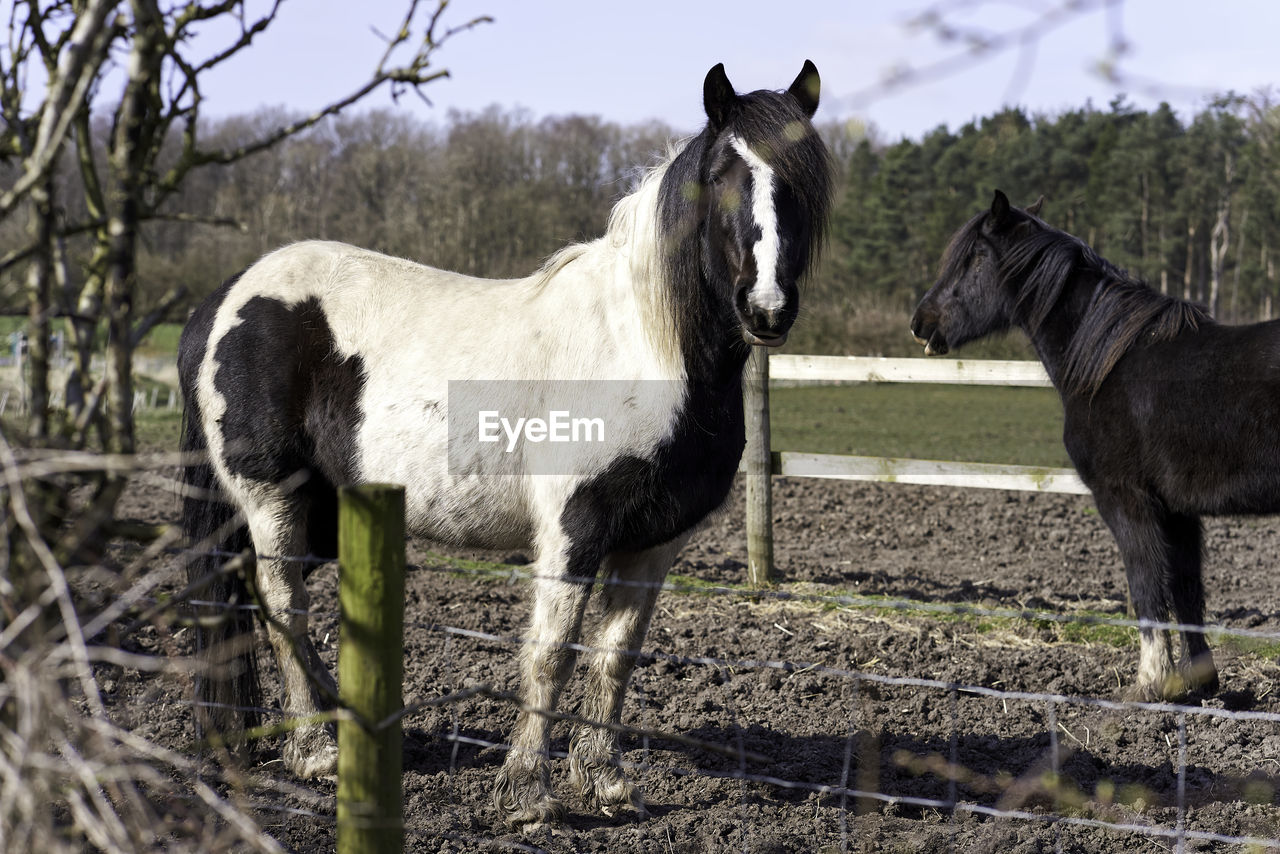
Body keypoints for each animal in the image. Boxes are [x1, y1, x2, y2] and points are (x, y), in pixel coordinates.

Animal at [180, 61, 834, 829]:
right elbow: (550, 653)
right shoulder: (573, 529)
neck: (644, 349)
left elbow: (615, 655)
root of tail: (224, 298)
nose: (767, 309)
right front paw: (526, 793)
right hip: (272, 499)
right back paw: (314, 752)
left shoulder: (654, 543)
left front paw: (605, 781)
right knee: (282, 605)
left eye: (801, 183)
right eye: (725, 176)